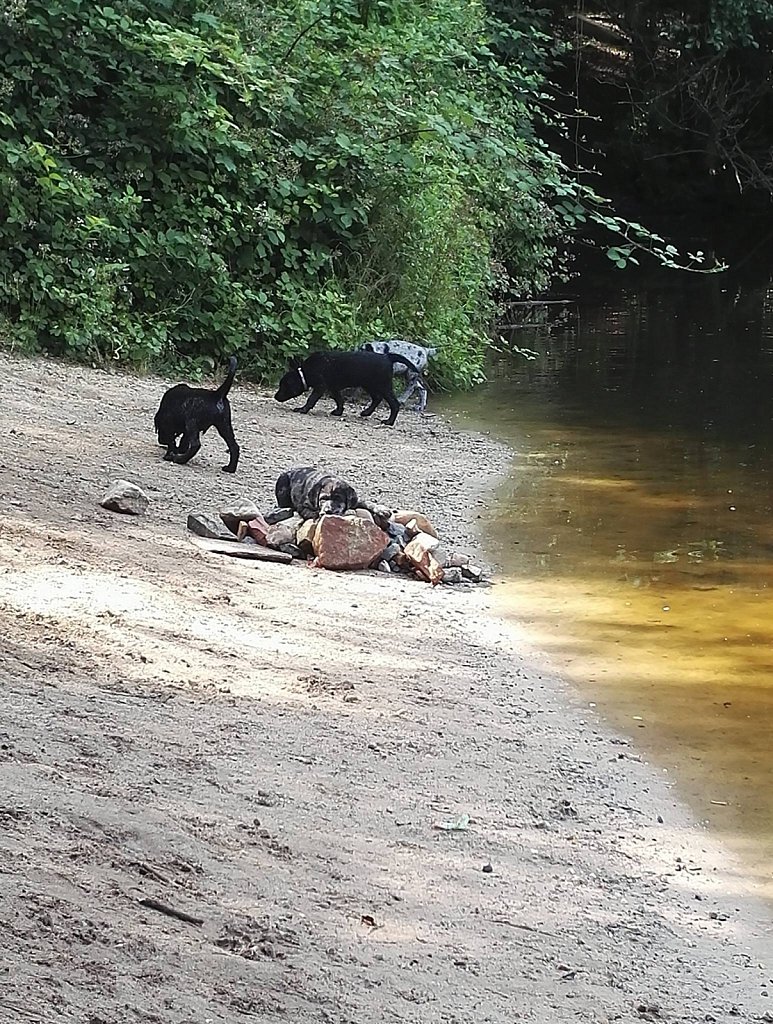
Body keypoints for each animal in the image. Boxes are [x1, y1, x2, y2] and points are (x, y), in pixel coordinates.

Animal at [272, 350, 417, 425]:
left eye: (283, 386)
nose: (275, 396)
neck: (306, 372)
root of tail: (387, 357)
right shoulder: (333, 387)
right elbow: (339, 400)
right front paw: (338, 412)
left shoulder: (320, 386)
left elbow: (311, 399)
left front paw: (302, 409)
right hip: (369, 385)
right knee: (377, 398)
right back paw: (366, 413)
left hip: (383, 386)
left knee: (394, 403)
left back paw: (389, 421)